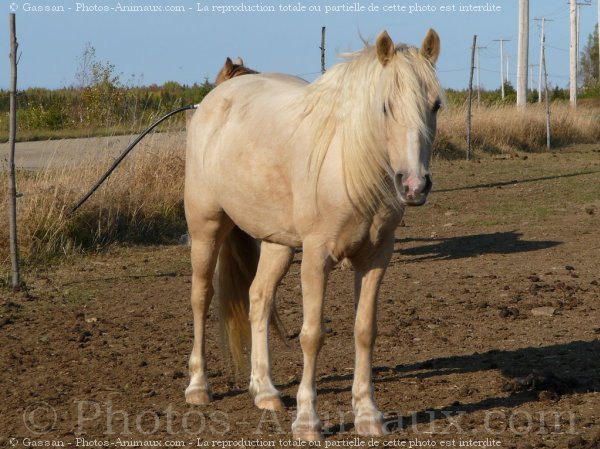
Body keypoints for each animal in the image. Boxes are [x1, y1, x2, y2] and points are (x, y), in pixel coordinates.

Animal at [185, 29, 442, 440]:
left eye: (435, 105)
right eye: (385, 106)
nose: (414, 186)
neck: (349, 164)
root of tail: (216, 98)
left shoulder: (375, 258)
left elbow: (365, 330)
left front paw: (368, 414)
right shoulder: (317, 258)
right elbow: (312, 335)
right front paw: (308, 422)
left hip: (277, 244)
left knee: (258, 298)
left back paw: (265, 391)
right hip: (206, 227)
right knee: (200, 298)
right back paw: (198, 387)